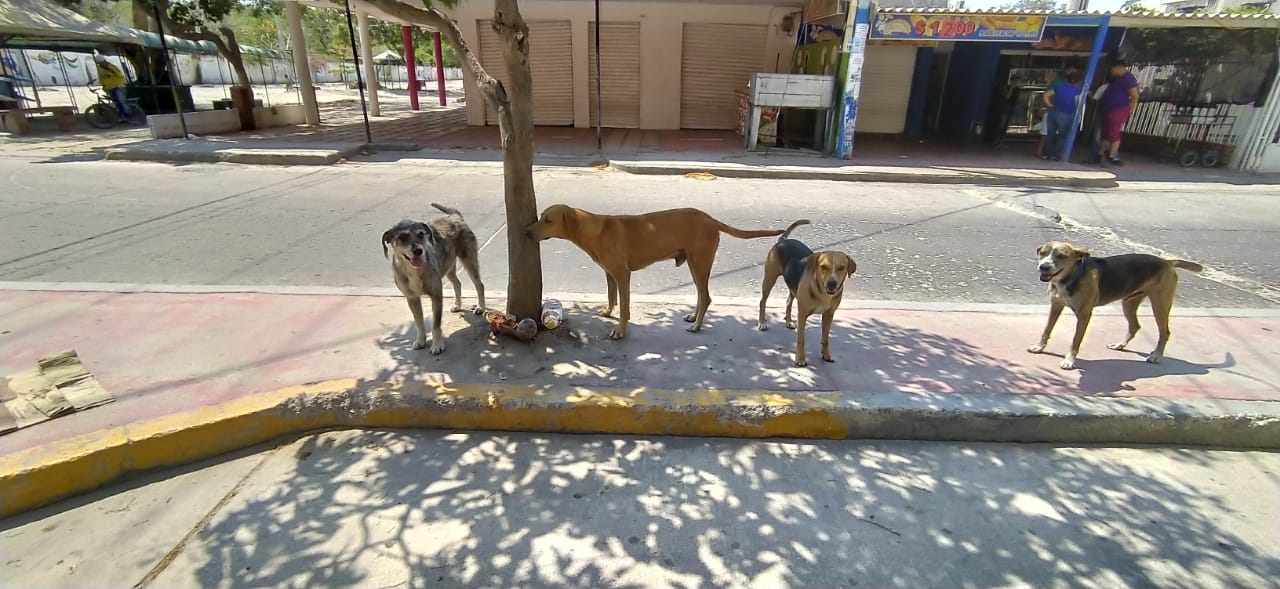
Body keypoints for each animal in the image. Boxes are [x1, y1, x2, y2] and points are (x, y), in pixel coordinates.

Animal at [381, 202, 486, 353]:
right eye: (402, 237)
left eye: (421, 234)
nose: (418, 251)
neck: (414, 270)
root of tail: (455, 216)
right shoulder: (412, 298)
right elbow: (418, 322)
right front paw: (420, 341)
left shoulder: (436, 295)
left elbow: (436, 324)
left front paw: (437, 345)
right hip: (448, 266)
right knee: (457, 283)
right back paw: (457, 304)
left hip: (468, 260)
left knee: (479, 285)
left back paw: (480, 307)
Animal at [524, 204, 783, 338]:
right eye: (541, 217)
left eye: (548, 220)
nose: (526, 232)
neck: (595, 230)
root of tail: (709, 218)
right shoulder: (609, 273)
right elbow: (611, 296)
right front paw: (608, 311)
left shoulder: (622, 275)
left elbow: (625, 307)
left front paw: (620, 329)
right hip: (694, 265)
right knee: (701, 295)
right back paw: (693, 317)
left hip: (700, 264)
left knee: (707, 296)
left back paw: (697, 326)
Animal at [752, 220, 855, 366]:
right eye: (823, 267)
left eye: (842, 268)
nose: (832, 283)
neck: (822, 293)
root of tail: (783, 240)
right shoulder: (802, 315)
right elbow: (801, 340)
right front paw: (800, 359)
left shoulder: (829, 315)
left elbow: (826, 339)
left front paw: (826, 354)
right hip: (769, 279)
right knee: (762, 301)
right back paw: (762, 323)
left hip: (793, 287)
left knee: (788, 302)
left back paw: (789, 321)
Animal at [1029, 239, 1198, 368]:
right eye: (1042, 253)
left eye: (1061, 256)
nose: (1043, 266)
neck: (1071, 277)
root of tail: (1167, 262)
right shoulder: (1056, 306)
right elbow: (1046, 330)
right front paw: (1039, 347)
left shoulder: (1084, 315)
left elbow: (1075, 340)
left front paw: (1069, 360)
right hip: (1129, 303)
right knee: (1135, 326)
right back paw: (1120, 345)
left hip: (1160, 304)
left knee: (1165, 332)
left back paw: (1156, 355)